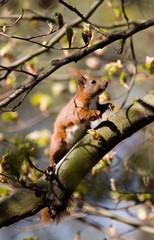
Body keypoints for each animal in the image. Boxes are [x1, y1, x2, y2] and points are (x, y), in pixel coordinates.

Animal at [41, 67, 109, 223]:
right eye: (93, 82)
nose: (106, 82)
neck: (92, 98)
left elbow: (101, 108)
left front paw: (109, 105)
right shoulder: (77, 109)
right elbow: (83, 115)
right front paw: (95, 112)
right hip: (58, 141)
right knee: (54, 157)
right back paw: (51, 165)